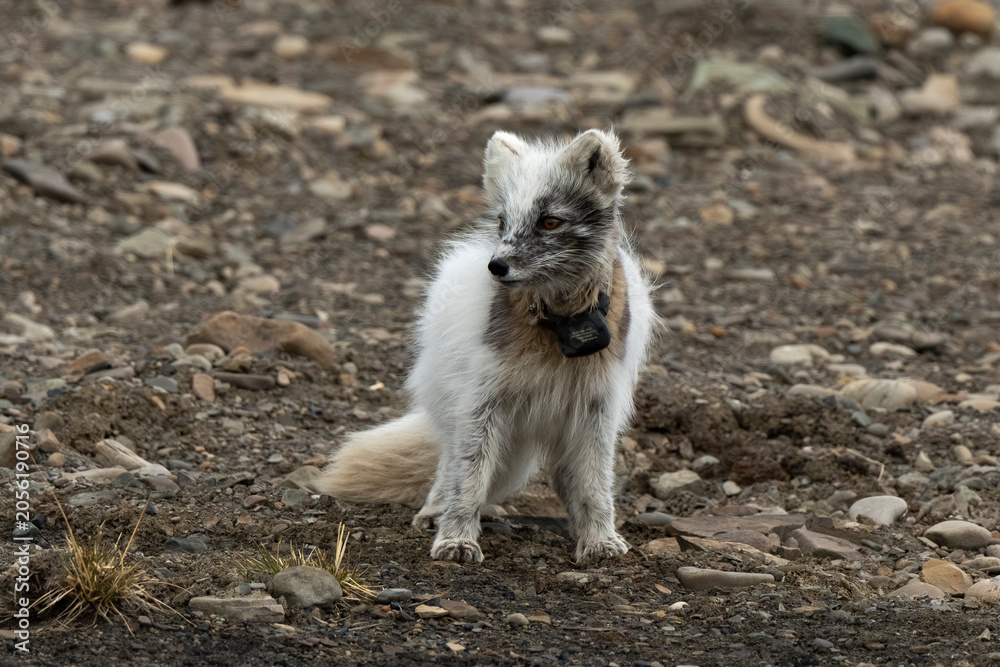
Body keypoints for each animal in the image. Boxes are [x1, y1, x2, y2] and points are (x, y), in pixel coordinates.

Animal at [316, 128, 654, 564]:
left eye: (550, 221)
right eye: (502, 221)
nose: (496, 267)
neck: (557, 325)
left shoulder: (599, 405)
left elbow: (595, 483)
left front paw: (599, 540)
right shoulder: (483, 399)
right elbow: (470, 476)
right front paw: (456, 539)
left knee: (566, 475)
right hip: (460, 408)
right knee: (448, 463)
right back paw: (434, 511)